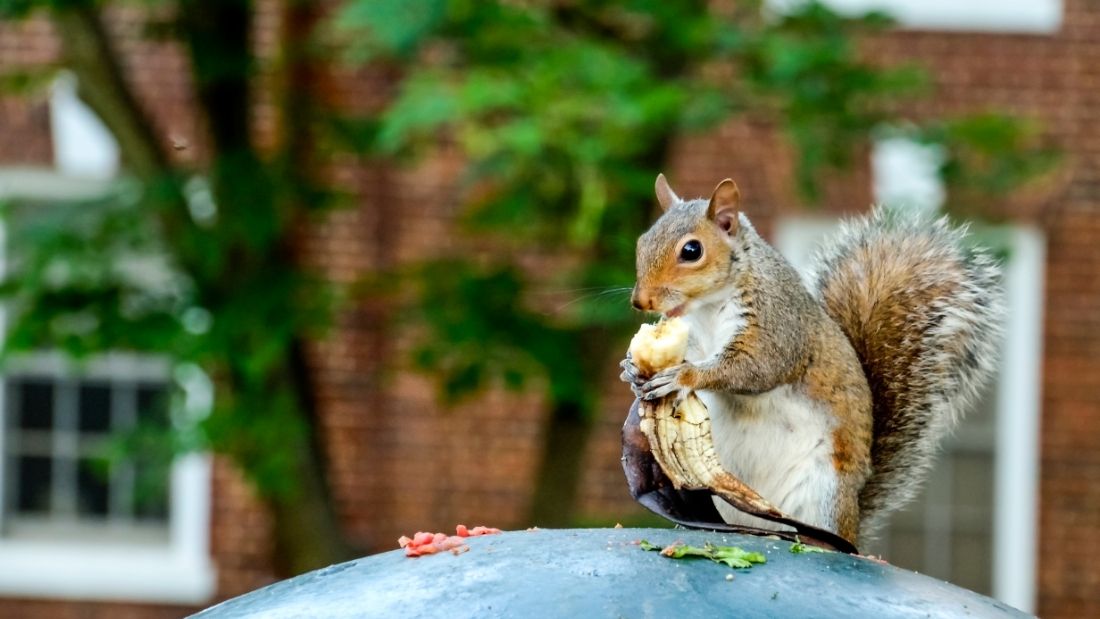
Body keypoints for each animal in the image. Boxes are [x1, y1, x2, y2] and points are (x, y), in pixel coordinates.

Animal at [620, 173, 1007, 543]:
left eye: (691, 250)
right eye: (641, 241)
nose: (641, 301)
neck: (707, 309)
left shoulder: (777, 323)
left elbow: (754, 368)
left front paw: (682, 376)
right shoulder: (696, 338)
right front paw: (631, 369)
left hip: (824, 493)